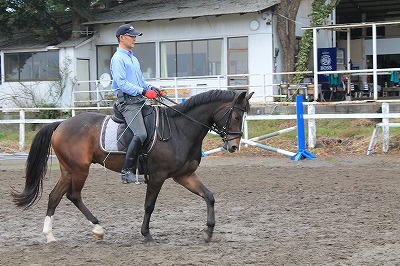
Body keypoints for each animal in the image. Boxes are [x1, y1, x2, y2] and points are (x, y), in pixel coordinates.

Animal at [12, 90, 253, 244]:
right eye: (236, 115)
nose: (233, 146)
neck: (181, 129)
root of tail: (61, 124)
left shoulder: (184, 175)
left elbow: (209, 196)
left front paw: (208, 231)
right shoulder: (157, 176)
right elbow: (149, 205)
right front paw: (146, 234)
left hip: (68, 170)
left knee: (55, 196)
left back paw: (50, 235)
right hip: (80, 170)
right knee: (74, 195)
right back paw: (97, 229)